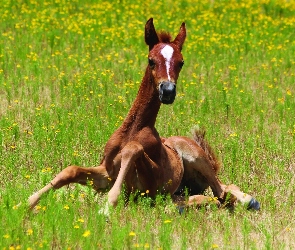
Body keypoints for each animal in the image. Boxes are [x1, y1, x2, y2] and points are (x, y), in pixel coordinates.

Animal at [27, 18, 260, 211]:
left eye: (181, 62)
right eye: (151, 60)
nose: (168, 91)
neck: (133, 129)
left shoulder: (152, 182)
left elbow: (134, 149)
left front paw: (107, 208)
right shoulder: (106, 174)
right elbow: (71, 170)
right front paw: (25, 204)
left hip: (194, 155)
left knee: (222, 191)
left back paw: (249, 201)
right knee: (209, 196)